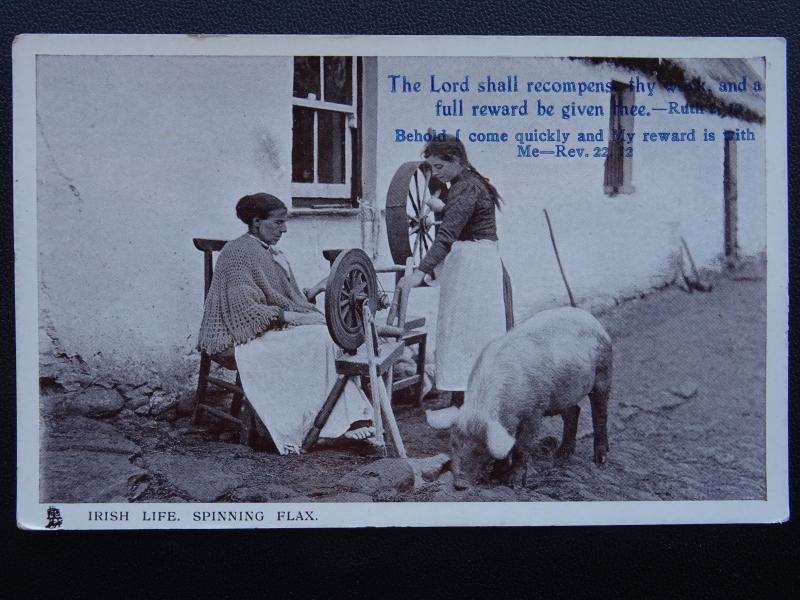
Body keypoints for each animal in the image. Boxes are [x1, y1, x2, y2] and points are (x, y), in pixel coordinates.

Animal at [428, 308, 608, 490]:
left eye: (480, 450)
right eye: (453, 443)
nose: (460, 485)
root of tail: (588, 316)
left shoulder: (535, 410)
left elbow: (521, 446)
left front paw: (514, 484)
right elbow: (505, 448)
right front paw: (496, 477)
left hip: (604, 370)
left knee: (600, 414)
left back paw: (600, 460)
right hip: (565, 394)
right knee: (574, 411)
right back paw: (560, 456)